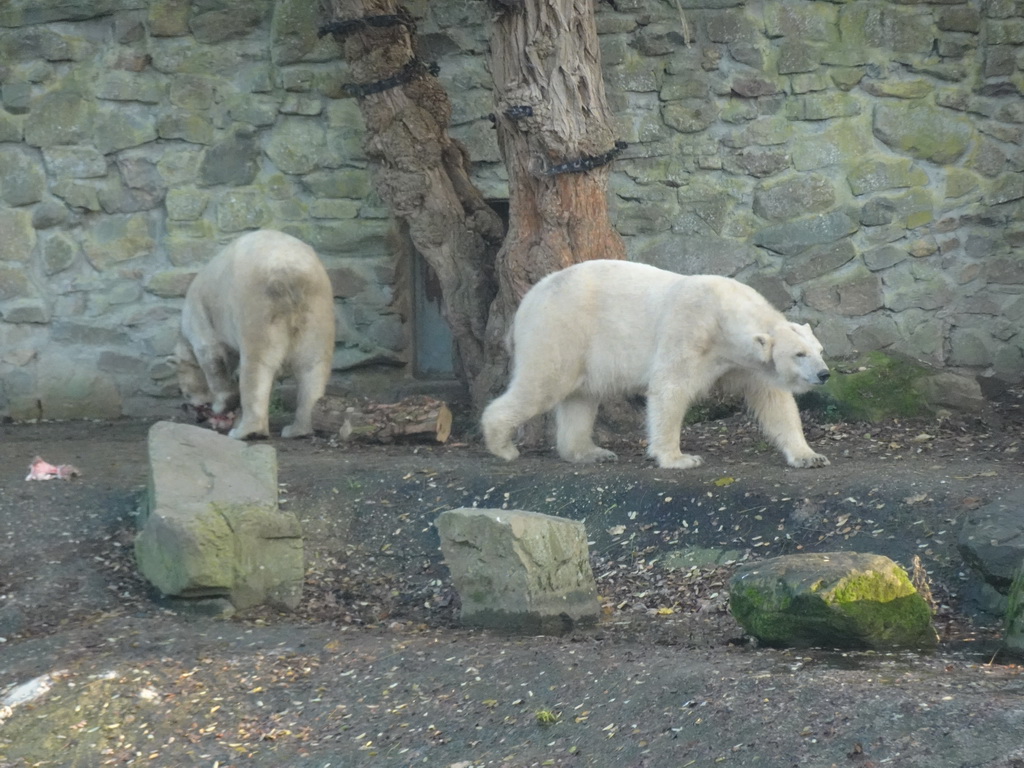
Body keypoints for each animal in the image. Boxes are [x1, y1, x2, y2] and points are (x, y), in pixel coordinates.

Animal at [175, 230, 335, 438]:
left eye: (183, 391)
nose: (192, 413)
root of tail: (291, 276)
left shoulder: (199, 317)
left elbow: (211, 356)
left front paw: (224, 404)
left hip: (257, 306)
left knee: (257, 365)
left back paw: (247, 431)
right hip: (317, 307)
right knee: (313, 365)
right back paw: (298, 429)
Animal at [481, 260, 831, 468]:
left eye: (819, 349)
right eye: (799, 354)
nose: (824, 373)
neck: (723, 315)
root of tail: (527, 301)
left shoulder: (745, 364)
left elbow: (775, 403)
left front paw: (810, 456)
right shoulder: (689, 329)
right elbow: (670, 388)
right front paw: (679, 458)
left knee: (580, 398)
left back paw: (590, 452)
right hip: (559, 330)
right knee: (543, 385)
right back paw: (503, 445)